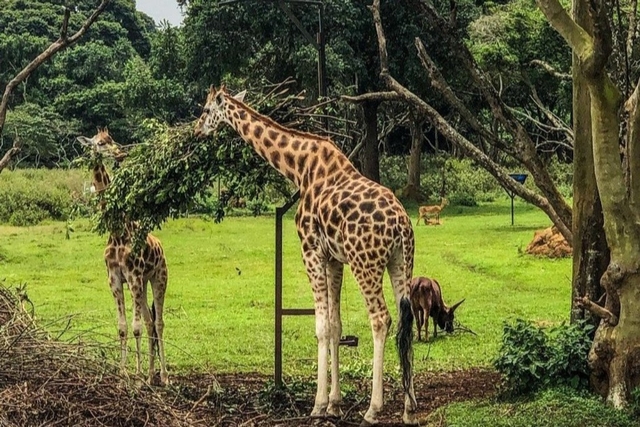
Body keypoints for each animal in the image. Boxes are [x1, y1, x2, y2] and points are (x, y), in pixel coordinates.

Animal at [77, 129, 170, 386]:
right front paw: (123, 374)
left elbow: (136, 327)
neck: (117, 232)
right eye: (99, 143)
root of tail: (161, 247)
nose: (120, 154)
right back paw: (150, 375)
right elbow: (123, 327)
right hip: (144, 284)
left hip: (158, 278)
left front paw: (135, 377)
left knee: (159, 323)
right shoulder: (116, 280)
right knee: (150, 322)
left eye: (113, 140)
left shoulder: (134, 277)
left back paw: (164, 377)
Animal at [192, 85, 418, 426]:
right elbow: (336, 325)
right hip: (401, 262)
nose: (196, 130)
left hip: (365, 263)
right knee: (408, 320)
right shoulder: (334, 258)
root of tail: (402, 224)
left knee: (381, 319)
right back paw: (408, 407)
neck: (299, 168)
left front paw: (318, 405)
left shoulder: (310, 249)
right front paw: (335, 404)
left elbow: (322, 327)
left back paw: (373, 409)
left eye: (206, 110)